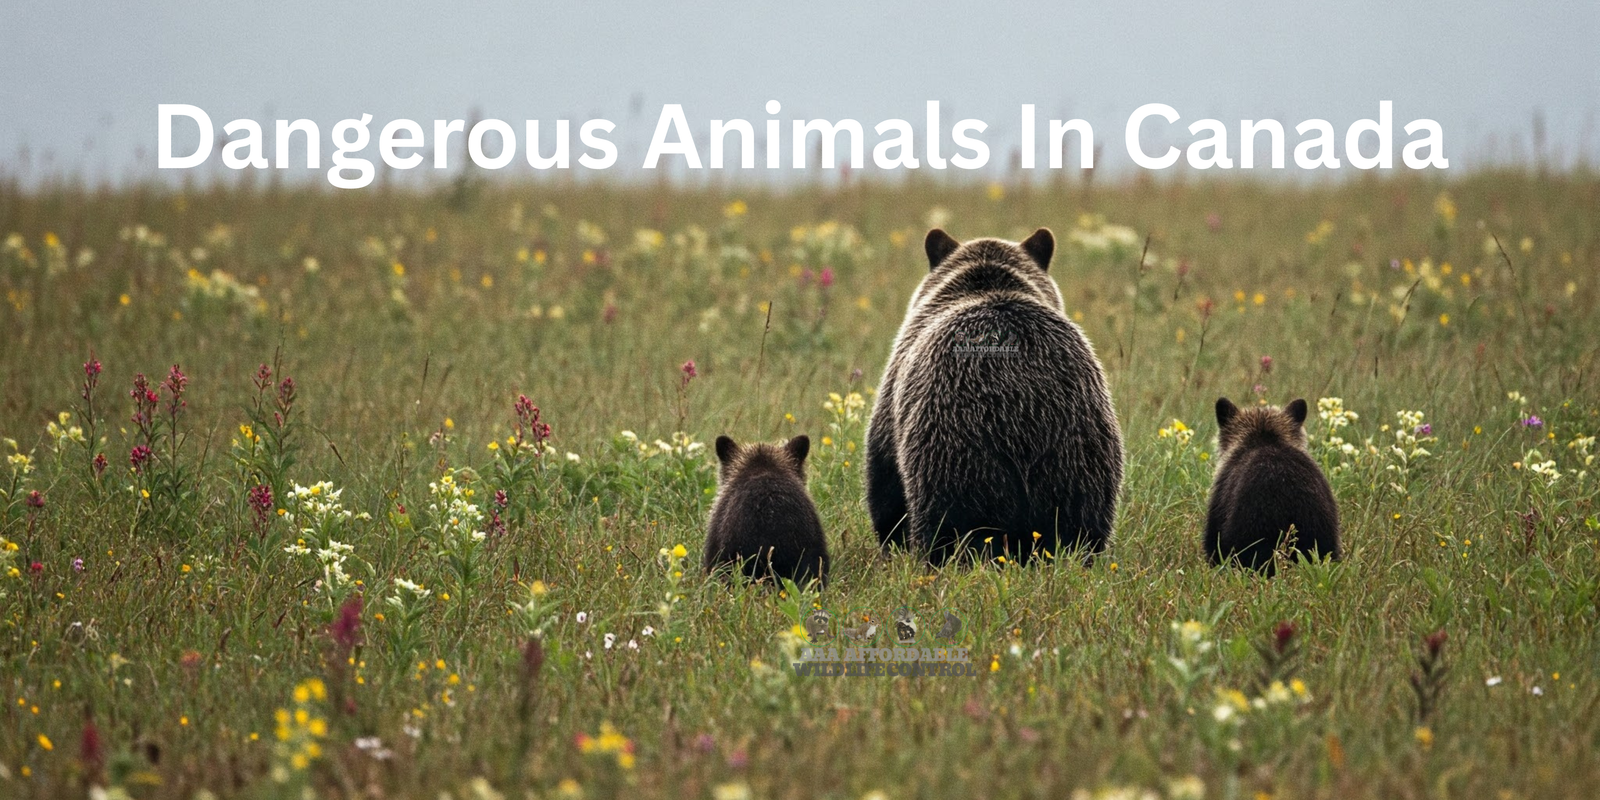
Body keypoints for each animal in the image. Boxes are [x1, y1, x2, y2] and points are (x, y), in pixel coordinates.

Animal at [863, 228, 1124, 566]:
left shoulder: (896, 394)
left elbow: (885, 478)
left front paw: (891, 540)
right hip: (1079, 452)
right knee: (1081, 526)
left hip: (957, 451)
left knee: (948, 524)